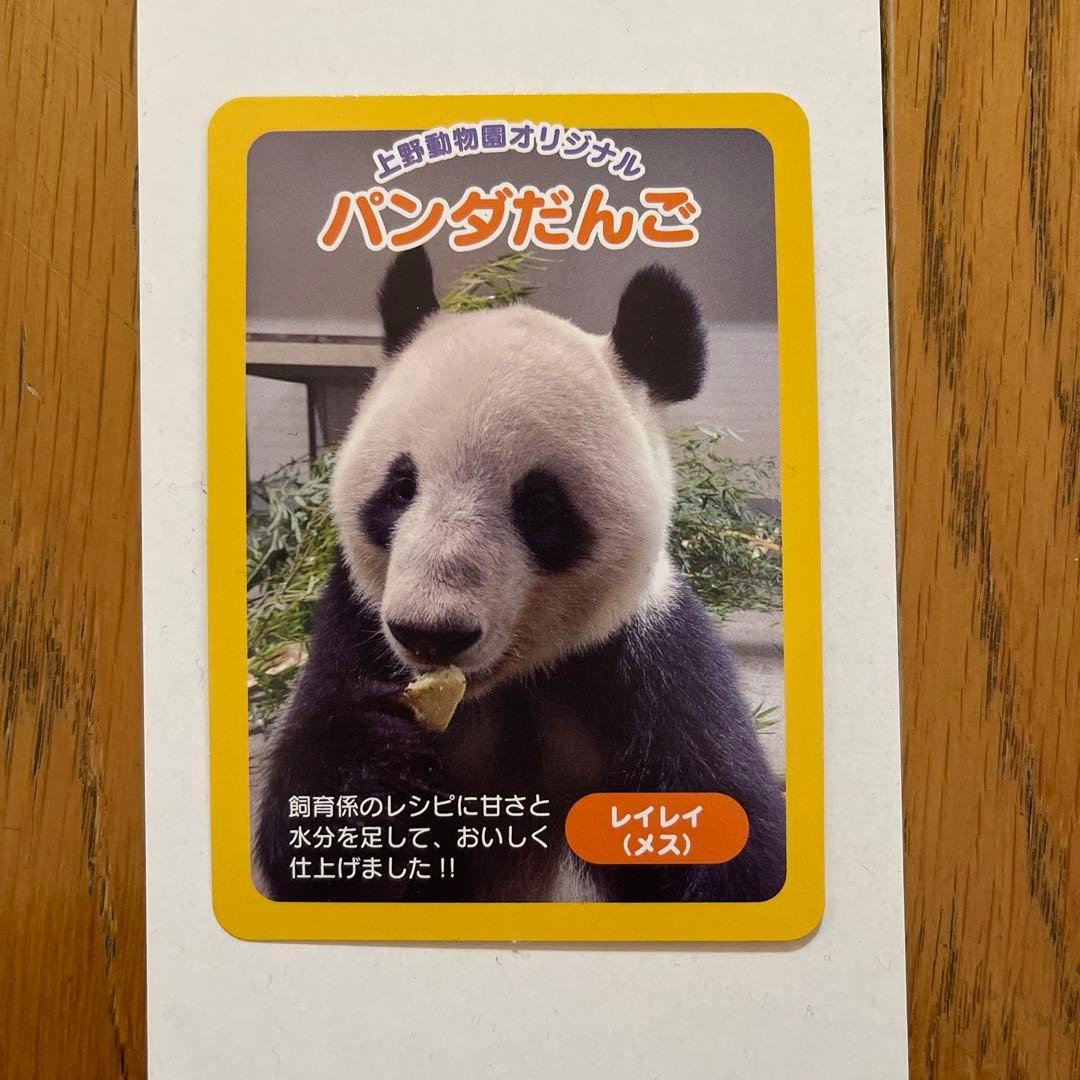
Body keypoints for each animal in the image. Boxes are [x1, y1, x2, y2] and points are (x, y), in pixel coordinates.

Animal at [254, 248, 786, 904]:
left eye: (539, 506)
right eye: (400, 488)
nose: (431, 634)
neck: (503, 688)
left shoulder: (647, 662)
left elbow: (735, 846)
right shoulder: (355, 627)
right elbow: (305, 837)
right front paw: (378, 766)